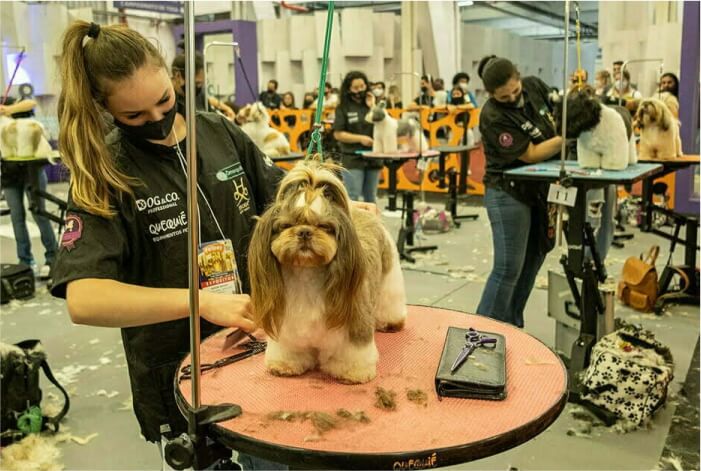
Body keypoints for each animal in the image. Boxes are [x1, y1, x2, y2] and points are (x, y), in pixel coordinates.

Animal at [249, 159, 408, 384]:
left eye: (324, 226)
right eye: (287, 225)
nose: (304, 232)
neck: (306, 275)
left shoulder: (354, 325)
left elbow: (352, 353)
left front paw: (352, 373)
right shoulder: (288, 329)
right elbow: (290, 350)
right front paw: (285, 365)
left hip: (388, 279)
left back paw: (392, 322)